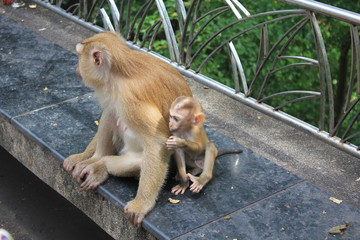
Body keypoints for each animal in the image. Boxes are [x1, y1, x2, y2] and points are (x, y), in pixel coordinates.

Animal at [62, 31, 191, 225]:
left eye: (79, 56)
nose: (76, 67)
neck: (119, 75)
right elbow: (109, 112)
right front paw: (82, 156)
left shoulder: (131, 101)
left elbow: (157, 142)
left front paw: (142, 204)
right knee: (111, 113)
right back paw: (96, 159)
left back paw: (101, 164)